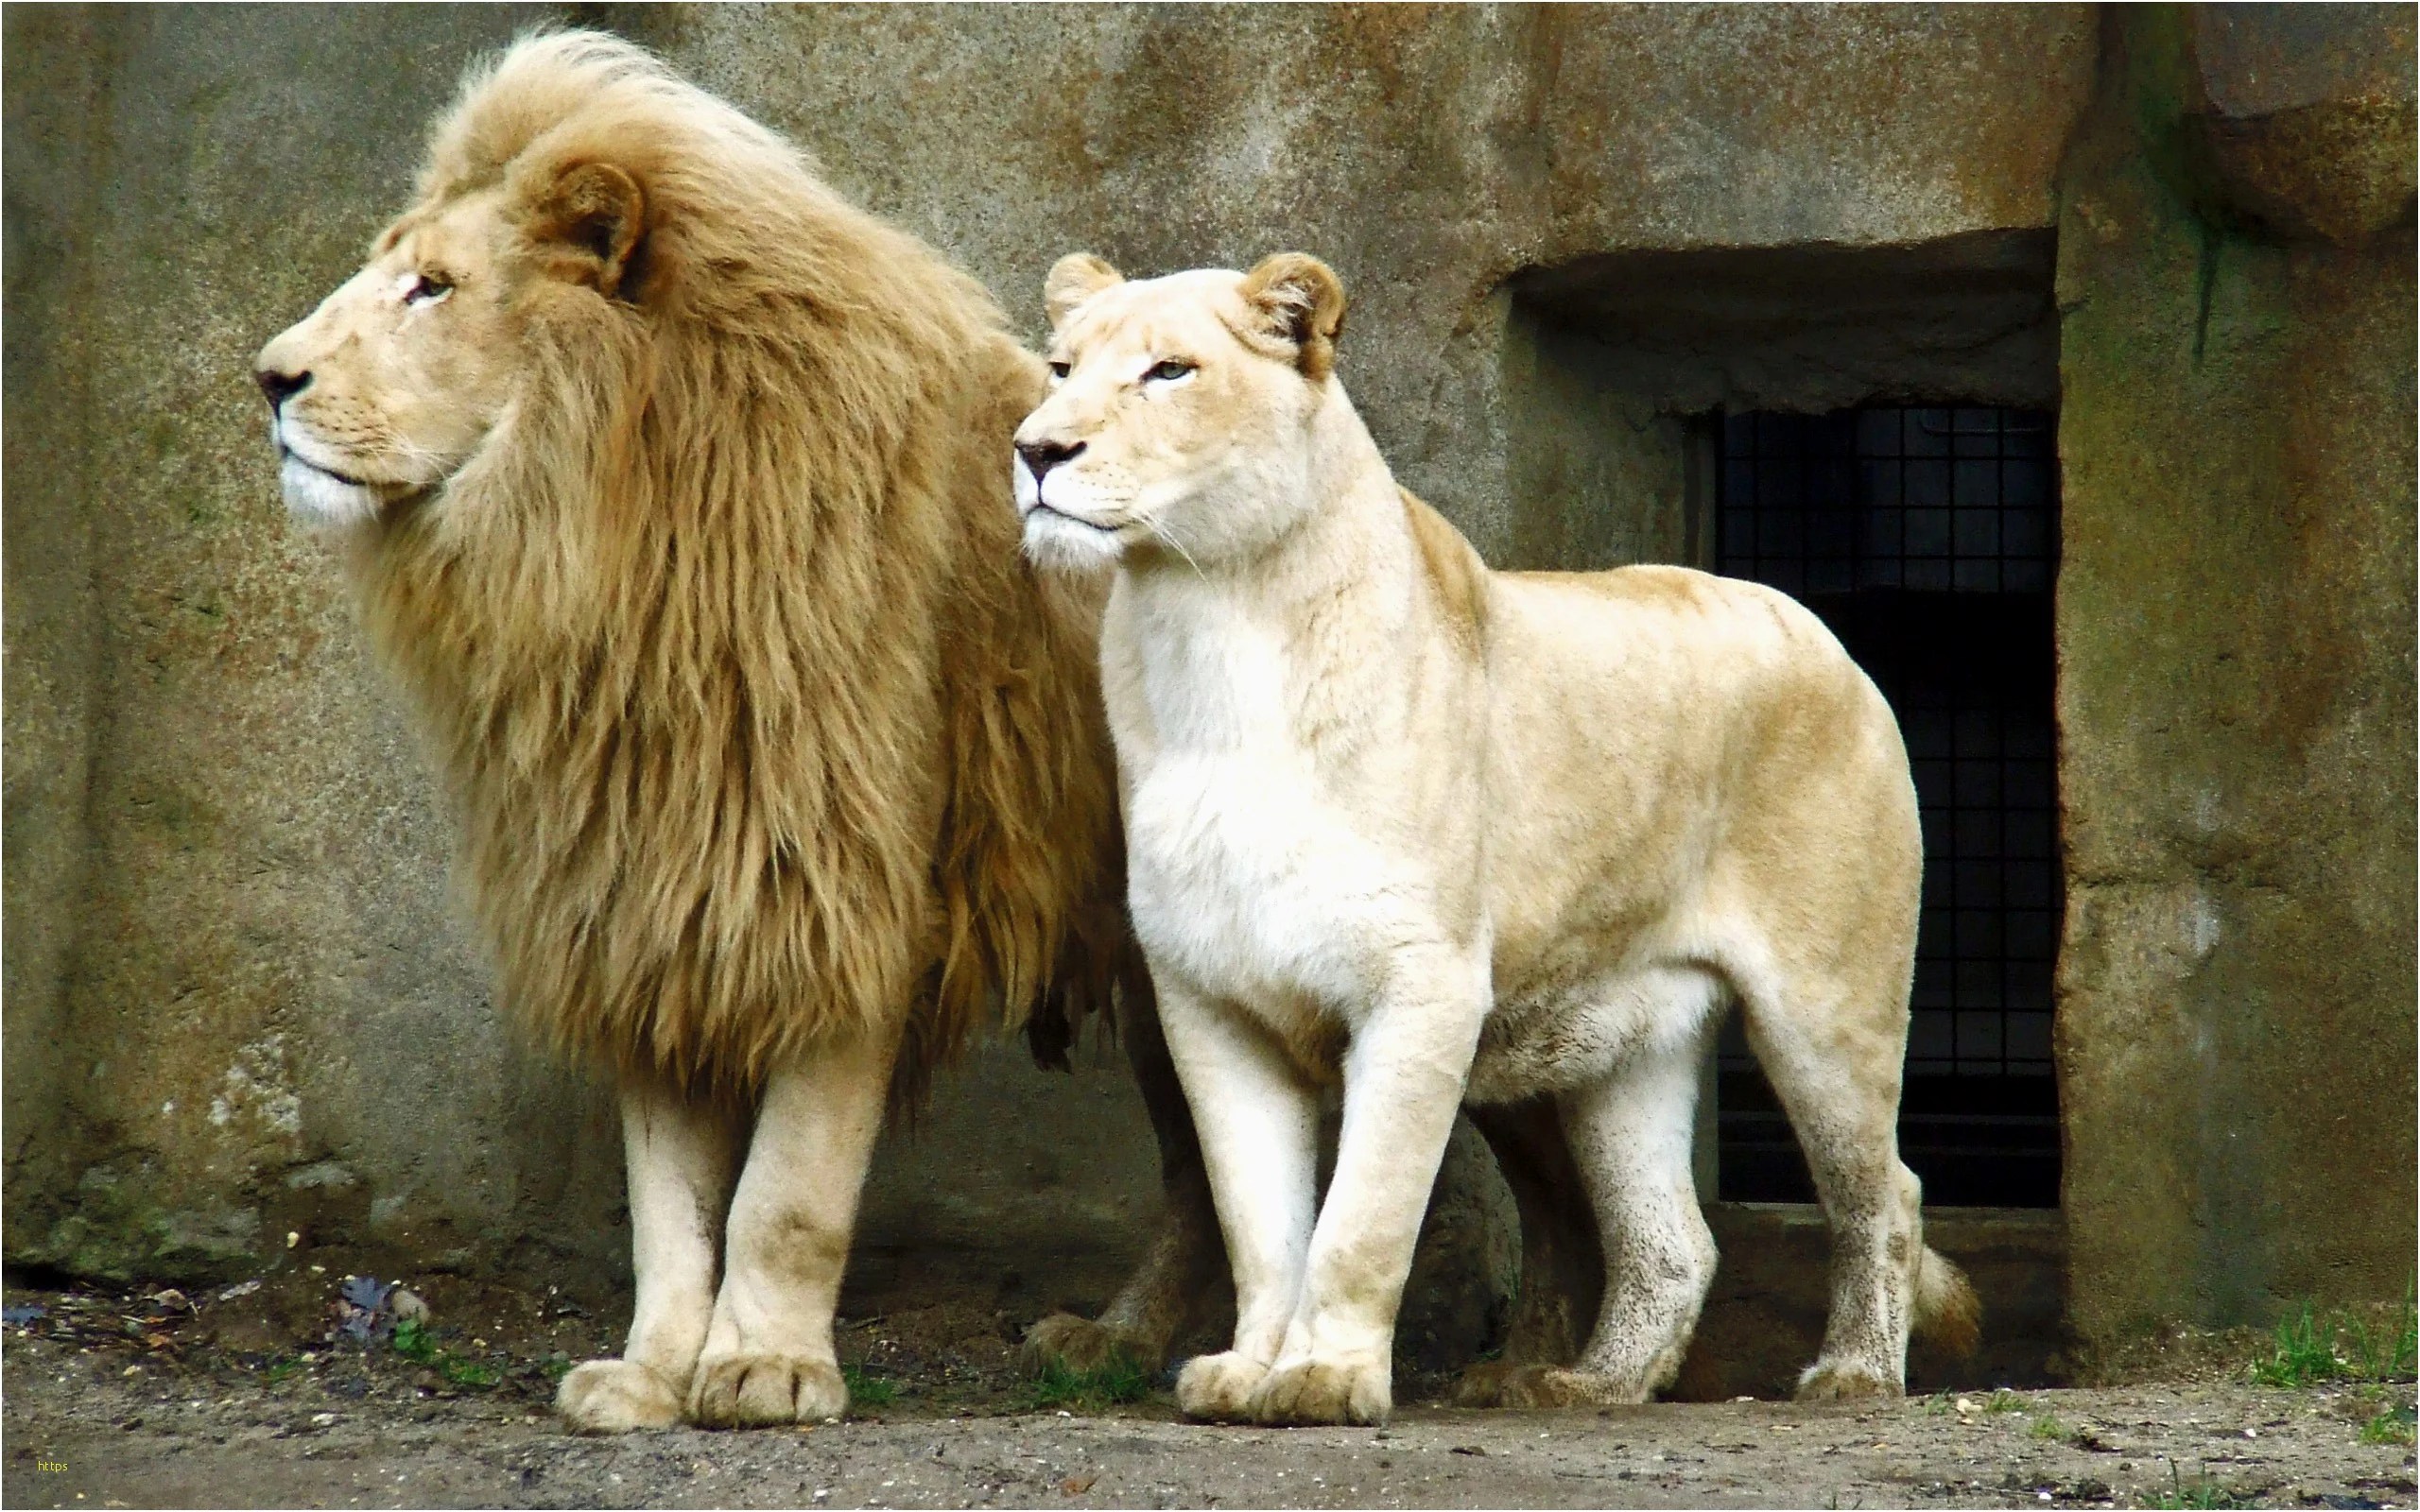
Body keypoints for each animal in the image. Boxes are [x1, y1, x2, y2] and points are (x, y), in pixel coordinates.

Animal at [248, 32, 1227, 1432]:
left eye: (432, 287)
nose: (268, 377)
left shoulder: (846, 890)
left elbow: (786, 1193)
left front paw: (765, 1365)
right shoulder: (650, 894)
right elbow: (672, 1205)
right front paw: (652, 1373)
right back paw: (1116, 1340)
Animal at [1011, 251, 1980, 1427]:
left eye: (1168, 371)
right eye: (1060, 369)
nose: (1037, 449)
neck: (1209, 625)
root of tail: (1819, 630)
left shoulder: (1419, 985)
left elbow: (1360, 1217)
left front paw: (1326, 1379)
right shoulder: (1210, 999)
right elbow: (1259, 1221)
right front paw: (1247, 1369)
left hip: (1826, 1006)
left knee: (1885, 1190)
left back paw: (1852, 1374)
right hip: (1627, 1037)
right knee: (1671, 1238)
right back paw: (1587, 1383)